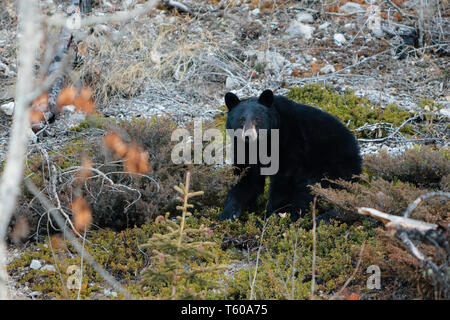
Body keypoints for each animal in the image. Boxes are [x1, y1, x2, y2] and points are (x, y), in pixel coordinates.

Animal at [218, 89, 362, 221]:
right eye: (241, 120)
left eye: (257, 119)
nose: (248, 136)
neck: (263, 143)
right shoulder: (245, 150)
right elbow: (246, 178)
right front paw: (228, 213)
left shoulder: (291, 143)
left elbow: (284, 179)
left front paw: (272, 214)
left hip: (330, 169)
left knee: (308, 190)